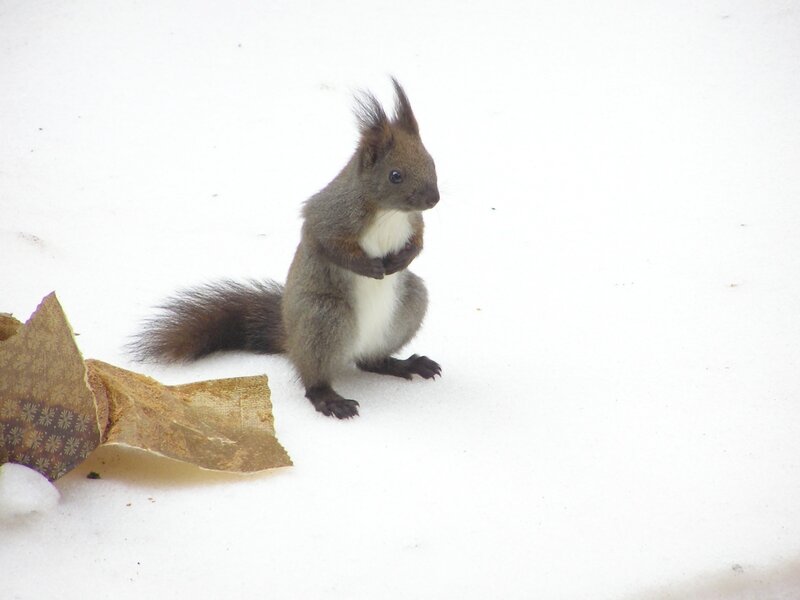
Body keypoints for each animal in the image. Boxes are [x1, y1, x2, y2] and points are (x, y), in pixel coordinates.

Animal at [132, 78, 441, 419]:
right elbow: (325, 242)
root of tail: (292, 340)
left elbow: (419, 241)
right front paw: (370, 267)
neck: (389, 212)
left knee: (371, 361)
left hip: (409, 304)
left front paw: (401, 260)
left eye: (431, 161)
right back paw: (329, 398)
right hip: (323, 317)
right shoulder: (328, 215)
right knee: (314, 376)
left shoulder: (413, 221)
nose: (434, 200)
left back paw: (403, 364)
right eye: (395, 175)